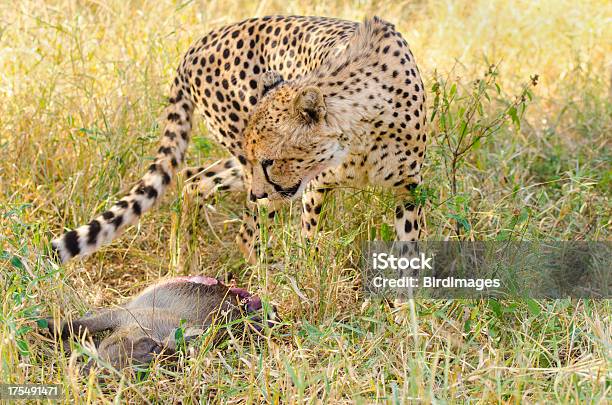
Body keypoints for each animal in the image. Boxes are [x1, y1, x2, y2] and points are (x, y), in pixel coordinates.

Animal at [51, 15, 426, 264]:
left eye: (272, 160)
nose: (257, 192)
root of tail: (198, 43)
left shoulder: (409, 188)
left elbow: (411, 246)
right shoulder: (313, 187)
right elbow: (309, 243)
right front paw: (311, 288)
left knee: (196, 180)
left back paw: (184, 258)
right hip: (247, 161)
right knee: (246, 232)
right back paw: (262, 279)